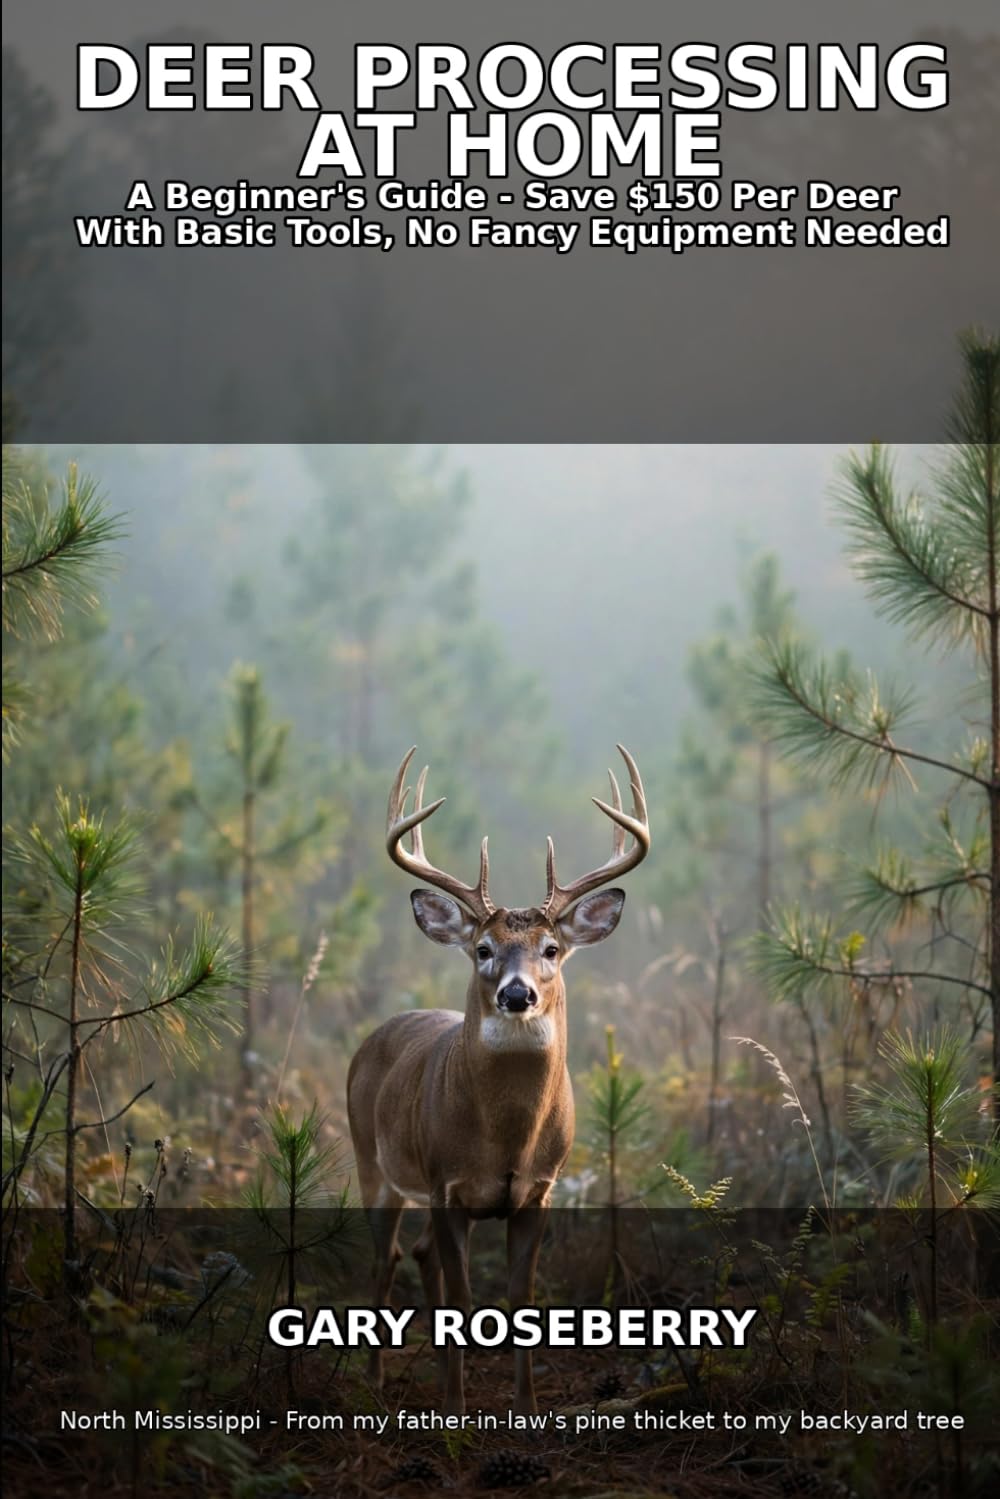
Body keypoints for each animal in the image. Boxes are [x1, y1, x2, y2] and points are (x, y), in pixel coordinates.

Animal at [347, 745, 651, 1416]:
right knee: (383, 1258)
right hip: (372, 1162)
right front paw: (457, 1409)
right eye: (483, 949)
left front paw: (527, 1405)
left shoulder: (539, 1190)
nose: (518, 993)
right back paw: (374, 1379)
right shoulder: (445, 1185)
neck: (505, 1138)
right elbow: (463, 1300)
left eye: (552, 949)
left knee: (418, 1254)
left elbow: (523, 1300)